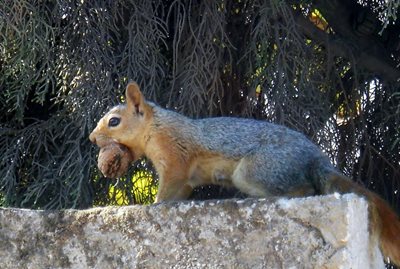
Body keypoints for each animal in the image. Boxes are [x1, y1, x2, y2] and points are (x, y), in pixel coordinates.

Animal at [90, 81, 400, 264]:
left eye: (114, 121)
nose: (93, 138)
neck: (155, 127)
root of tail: (316, 159)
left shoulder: (175, 158)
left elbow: (168, 189)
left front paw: (153, 205)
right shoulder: (185, 179)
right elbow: (180, 192)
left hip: (256, 170)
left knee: (304, 189)